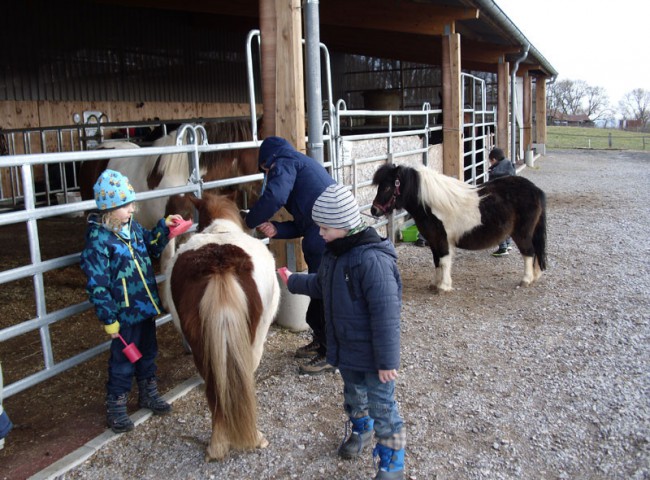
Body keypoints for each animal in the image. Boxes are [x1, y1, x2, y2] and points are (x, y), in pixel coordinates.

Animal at [162, 190, 278, 462]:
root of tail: (219, 263)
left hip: (202, 345)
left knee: (215, 388)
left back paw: (217, 444)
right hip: (251, 340)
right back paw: (251, 438)